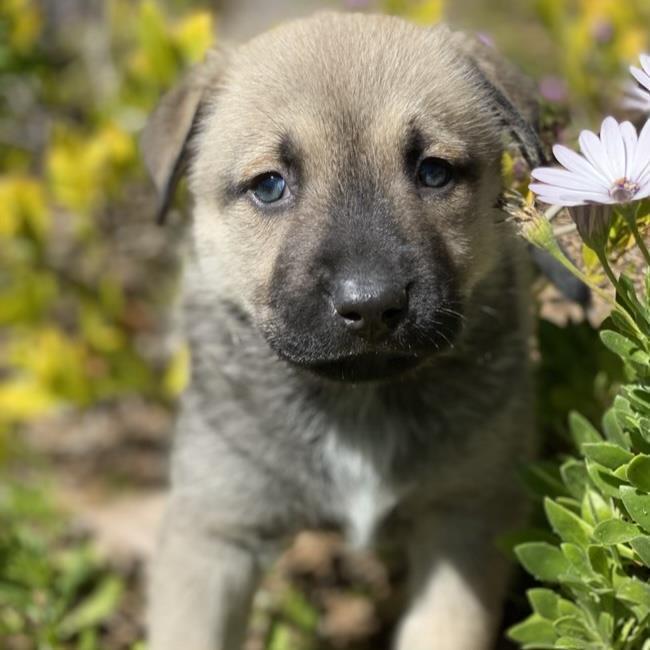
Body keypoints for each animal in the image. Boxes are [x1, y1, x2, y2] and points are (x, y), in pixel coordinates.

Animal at [140, 11, 536, 648]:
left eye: (433, 172)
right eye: (269, 186)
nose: (372, 305)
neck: (358, 402)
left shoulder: (465, 513)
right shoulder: (213, 529)